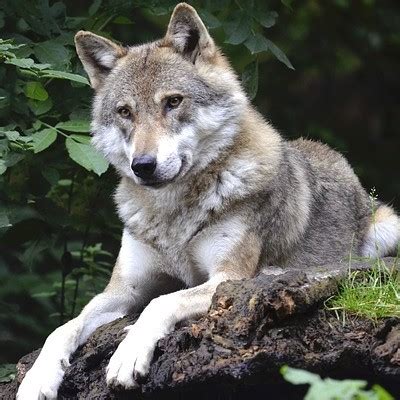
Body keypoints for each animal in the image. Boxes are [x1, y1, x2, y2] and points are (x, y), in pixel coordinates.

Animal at [16, 2, 400, 396]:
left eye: (173, 102)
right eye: (125, 112)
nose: (143, 166)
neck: (173, 215)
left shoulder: (225, 278)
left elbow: (160, 302)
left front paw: (128, 354)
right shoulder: (123, 289)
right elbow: (63, 327)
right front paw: (37, 379)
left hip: (388, 228)